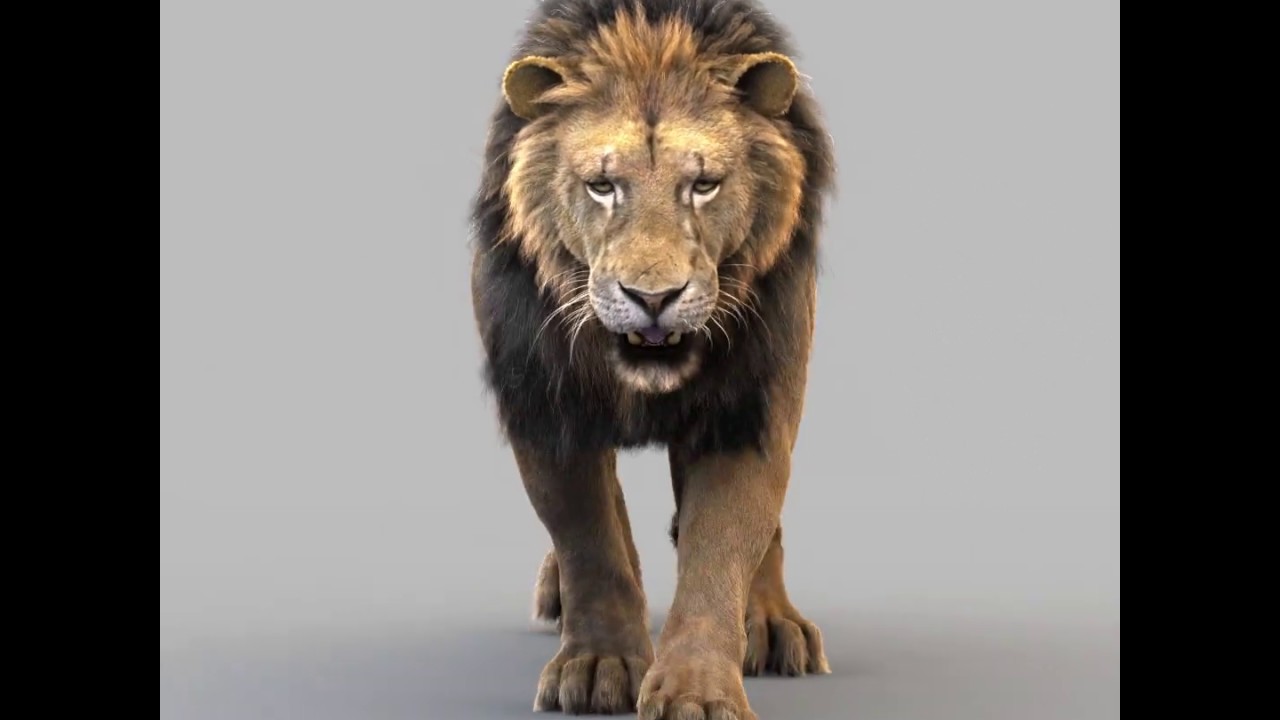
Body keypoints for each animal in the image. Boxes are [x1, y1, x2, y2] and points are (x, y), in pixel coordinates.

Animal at [468, 1, 836, 717]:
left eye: (705, 185)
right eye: (602, 185)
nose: (654, 298)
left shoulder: (747, 409)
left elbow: (722, 543)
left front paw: (697, 689)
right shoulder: (546, 402)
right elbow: (589, 538)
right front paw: (598, 664)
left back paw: (774, 625)